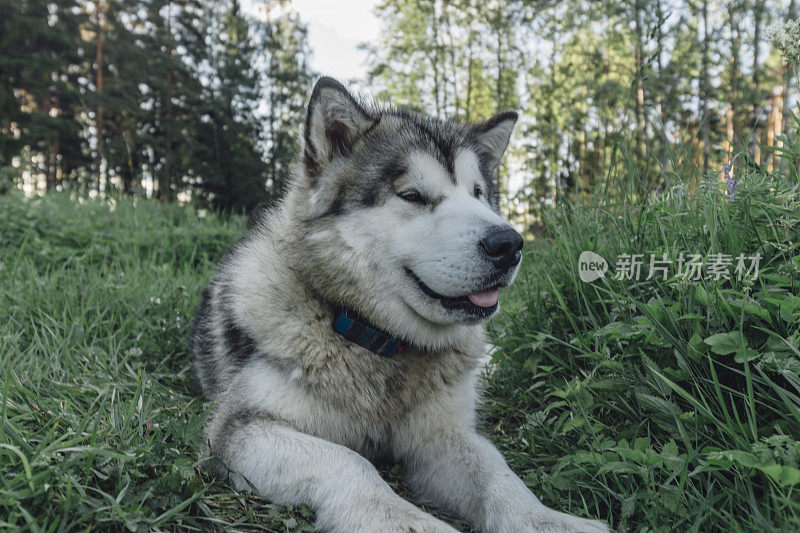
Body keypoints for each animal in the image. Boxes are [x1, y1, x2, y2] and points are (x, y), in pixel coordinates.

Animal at [192, 76, 608, 532]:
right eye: (413, 195)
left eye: (479, 193)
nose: (509, 244)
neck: (382, 345)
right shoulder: (239, 428)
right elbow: (350, 460)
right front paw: (409, 521)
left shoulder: (442, 436)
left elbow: (496, 472)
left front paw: (544, 519)